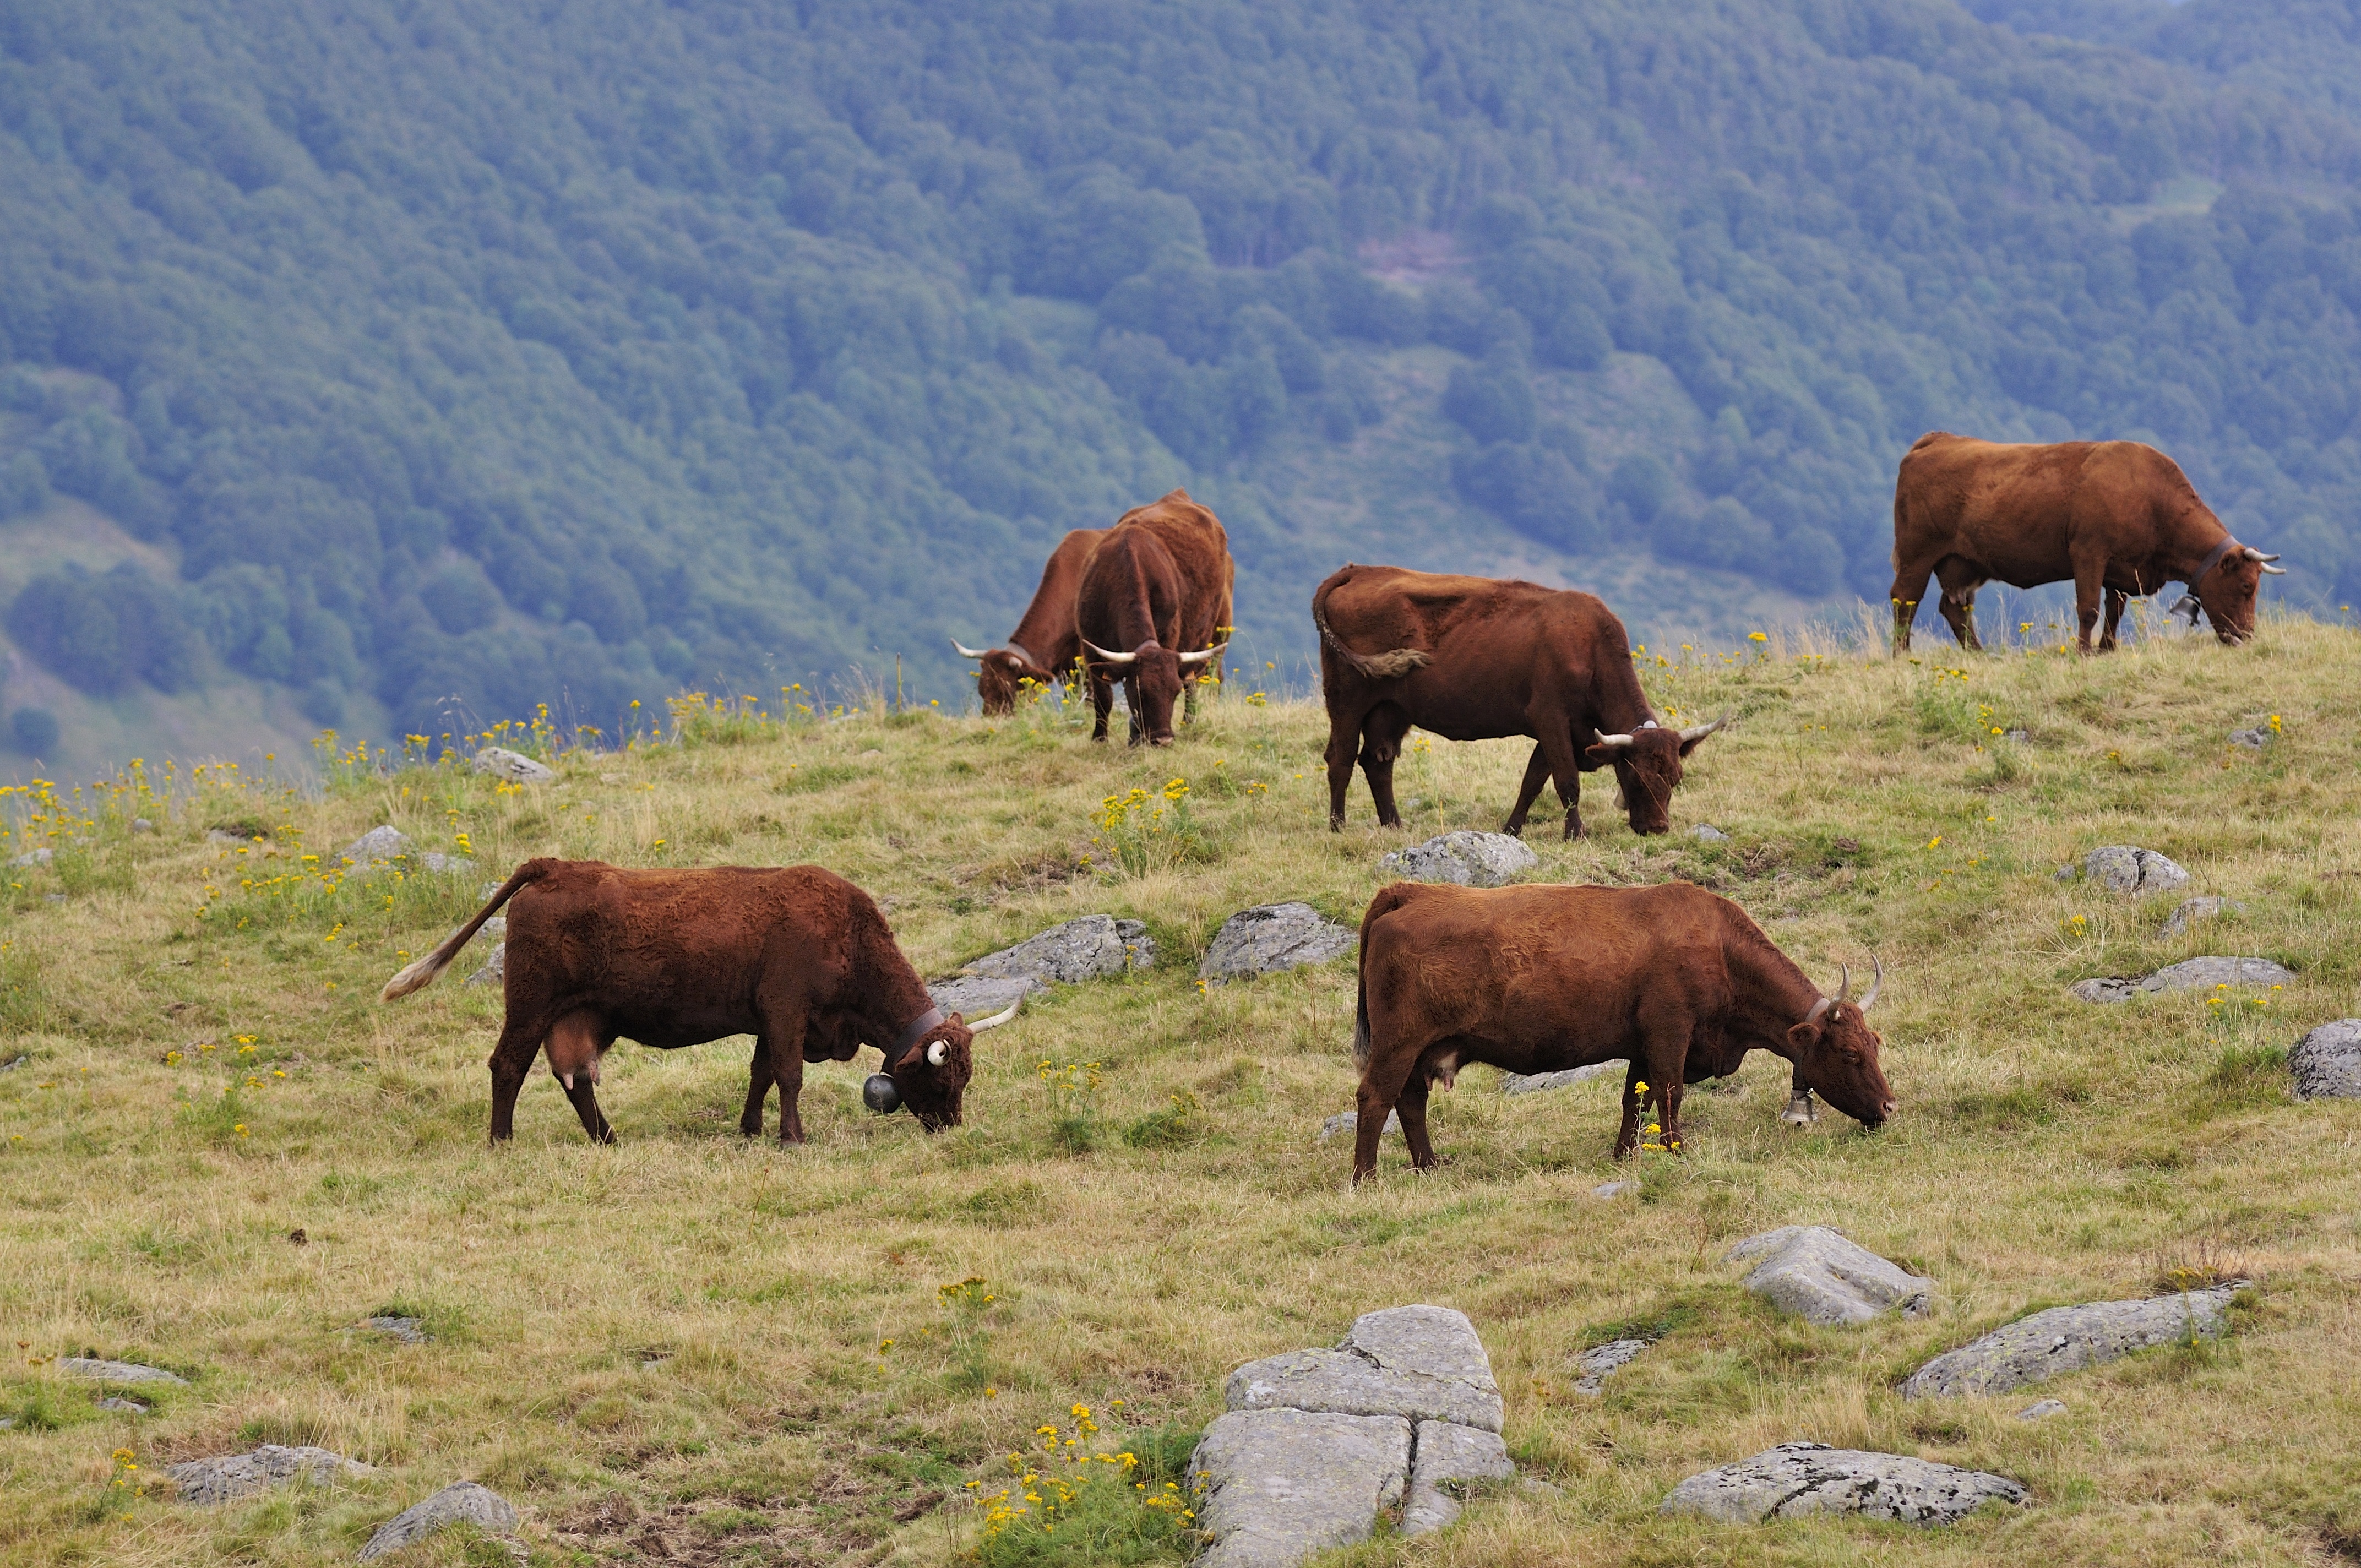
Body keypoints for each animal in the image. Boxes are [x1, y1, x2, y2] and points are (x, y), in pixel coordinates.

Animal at [378, 859, 1018, 1145]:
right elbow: (788, 1074)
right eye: (941, 1080)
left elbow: (761, 1072)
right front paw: (792, 1136)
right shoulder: (787, 1008)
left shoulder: (769, 1018)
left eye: (966, 1078)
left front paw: (751, 1129)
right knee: (508, 1065)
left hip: (575, 1015)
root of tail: (557, 865)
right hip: (530, 1003)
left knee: (575, 1076)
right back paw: (502, 1141)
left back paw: (606, 1139)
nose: (952, 1127)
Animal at [1075, 489, 1235, 746]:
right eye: (1141, 692)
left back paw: (1189, 722)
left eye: (1174, 691)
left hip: (1208, 633)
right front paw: (1100, 738)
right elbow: (1103, 697)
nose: (1164, 739)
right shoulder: (1089, 645)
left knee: (1196, 681)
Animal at [1312, 565, 1726, 840]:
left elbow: (1533, 780)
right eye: (1637, 777)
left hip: (1391, 710)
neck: (1588, 649)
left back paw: (1394, 825)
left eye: (1676, 778)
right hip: (1347, 699)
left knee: (1377, 763)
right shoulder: (1551, 718)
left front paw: (1511, 829)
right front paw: (1576, 833)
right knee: (1341, 759)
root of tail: (1357, 571)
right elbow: (1567, 781)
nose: (1658, 828)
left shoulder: (1560, 731)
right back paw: (1337, 826)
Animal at [1349, 881, 1892, 1183]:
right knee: (1376, 1098)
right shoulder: (1671, 1031)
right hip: (1399, 1044)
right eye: (1850, 1054)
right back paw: (1367, 1179)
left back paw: (1428, 1168)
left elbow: (1636, 1098)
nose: (1890, 1107)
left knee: (1410, 1102)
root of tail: (1410, 891)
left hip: (1421, 1050)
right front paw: (1677, 1151)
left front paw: (1624, 1155)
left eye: (1875, 1045)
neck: (1719, 948)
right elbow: (1669, 1093)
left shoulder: (1642, 1047)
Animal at [1890, 432, 2285, 656]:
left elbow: (2114, 612)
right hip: (1917, 554)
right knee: (1905, 600)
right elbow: (2090, 609)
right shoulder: (2089, 552)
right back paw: (1902, 655)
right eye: (2246, 586)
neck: (2152, 500)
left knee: (1954, 608)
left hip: (1964, 564)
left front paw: (2107, 650)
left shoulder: (2124, 570)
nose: (2247, 636)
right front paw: (2083, 652)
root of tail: (1939, 439)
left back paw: (1980, 655)